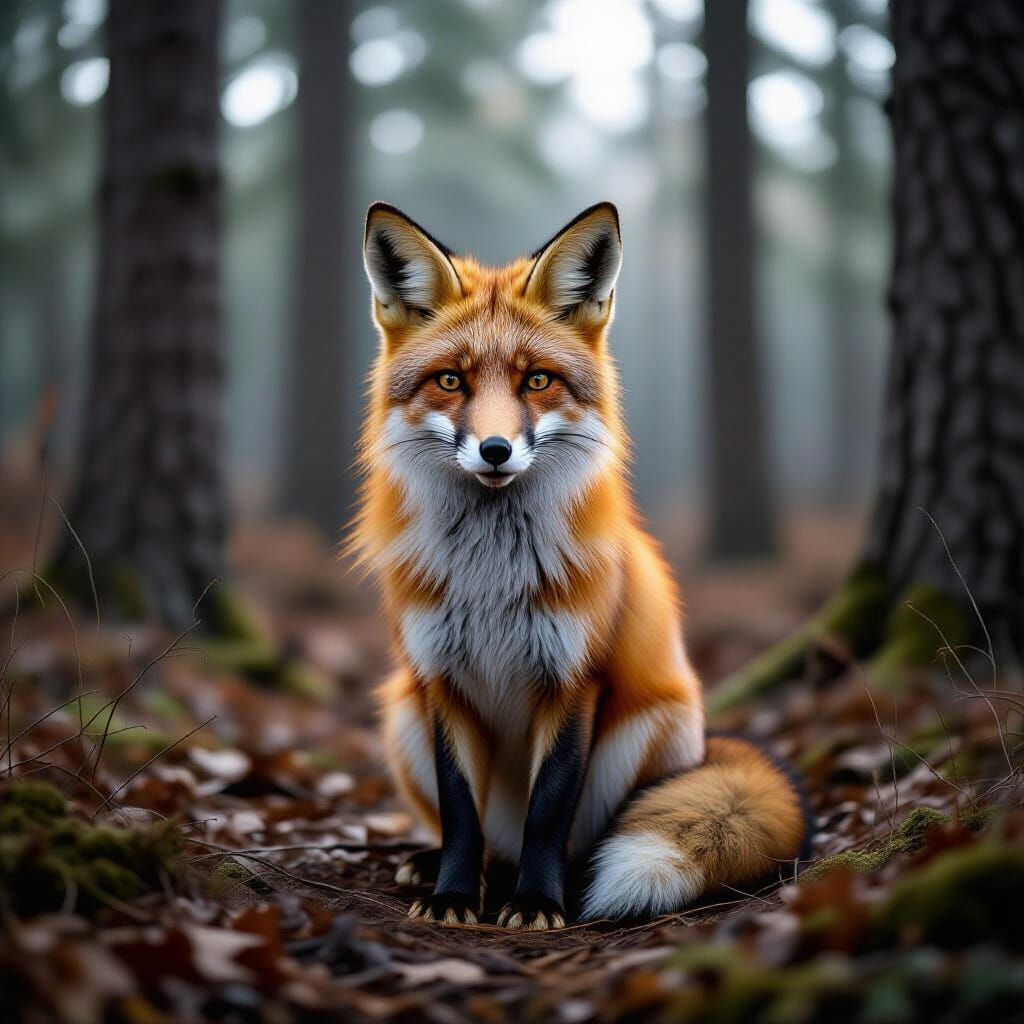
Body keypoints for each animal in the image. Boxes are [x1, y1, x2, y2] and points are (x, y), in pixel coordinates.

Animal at [352, 201, 811, 929]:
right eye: (451, 380)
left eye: (536, 380)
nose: (495, 449)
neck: (492, 580)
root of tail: (710, 744)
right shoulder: (441, 679)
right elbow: (459, 814)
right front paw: (453, 895)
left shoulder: (573, 678)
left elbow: (548, 810)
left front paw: (538, 904)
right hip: (401, 711)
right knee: (489, 838)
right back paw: (454, 868)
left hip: (649, 729)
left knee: (582, 837)